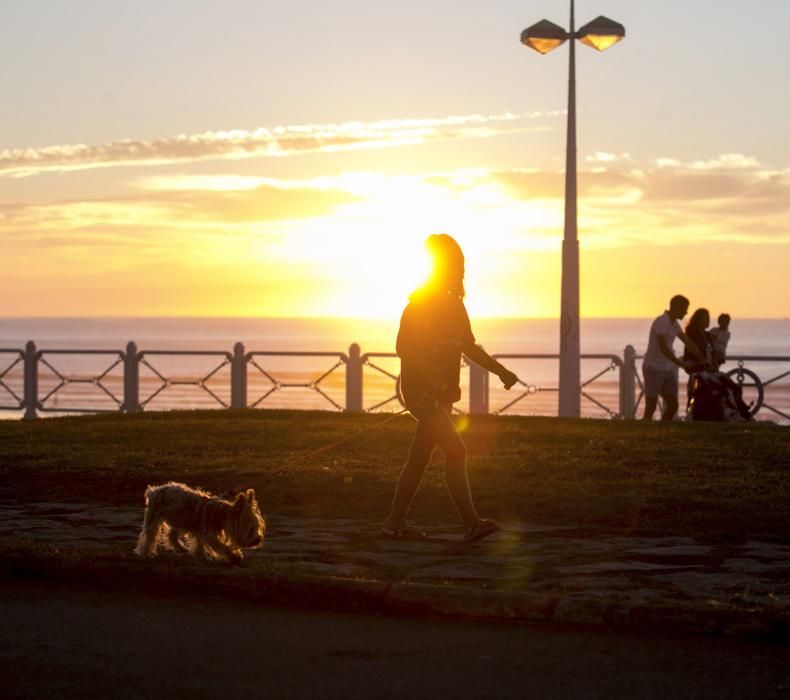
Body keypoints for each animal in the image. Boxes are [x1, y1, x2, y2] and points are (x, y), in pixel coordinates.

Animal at [135, 482, 266, 564]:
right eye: (251, 529)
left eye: (257, 527)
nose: (258, 540)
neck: (221, 513)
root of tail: (153, 490)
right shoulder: (209, 533)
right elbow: (221, 546)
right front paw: (235, 556)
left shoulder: (200, 529)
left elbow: (200, 543)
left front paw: (202, 557)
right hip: (154, 516)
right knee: (150, 535)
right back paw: (146, 553)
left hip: (180, 518)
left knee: (172, 534)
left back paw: (181, 548)